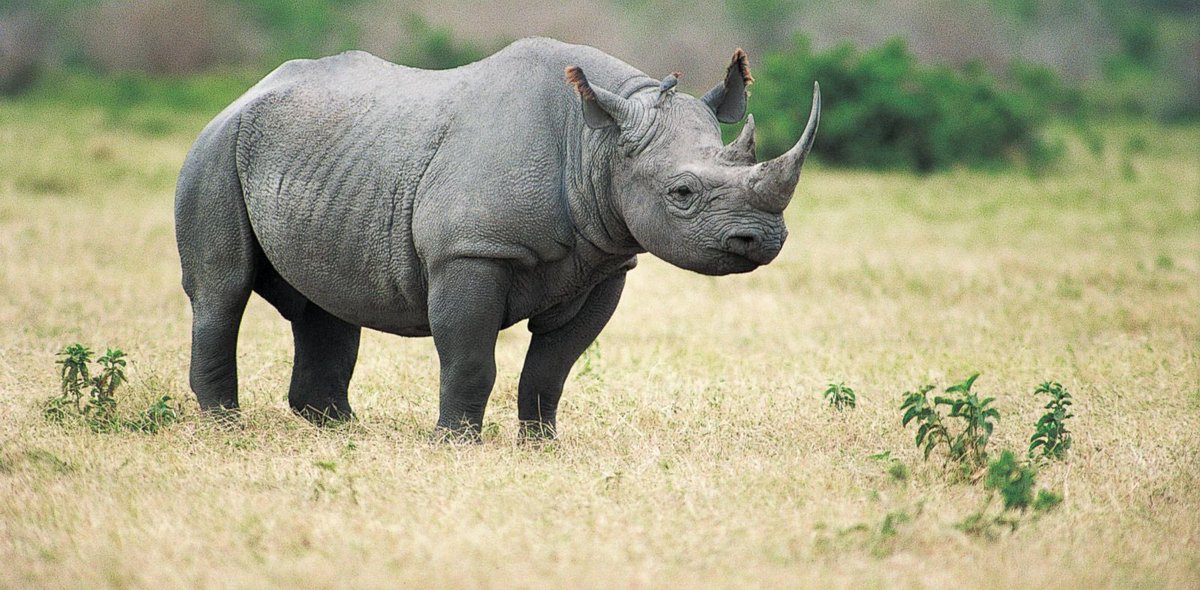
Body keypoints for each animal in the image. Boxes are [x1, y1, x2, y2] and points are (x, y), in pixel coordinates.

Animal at [175, 37, 819, 439]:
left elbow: (553, 366)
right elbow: (469, 358)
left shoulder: (606, 263)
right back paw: (227, 428)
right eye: (681, 192)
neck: (596, 143)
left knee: (326, 302)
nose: (763, 240)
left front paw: (542, 445)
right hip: (214, 150)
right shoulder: (469, 252)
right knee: (222, 291)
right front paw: (454, 444)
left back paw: (339, 429)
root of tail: (241, 95)